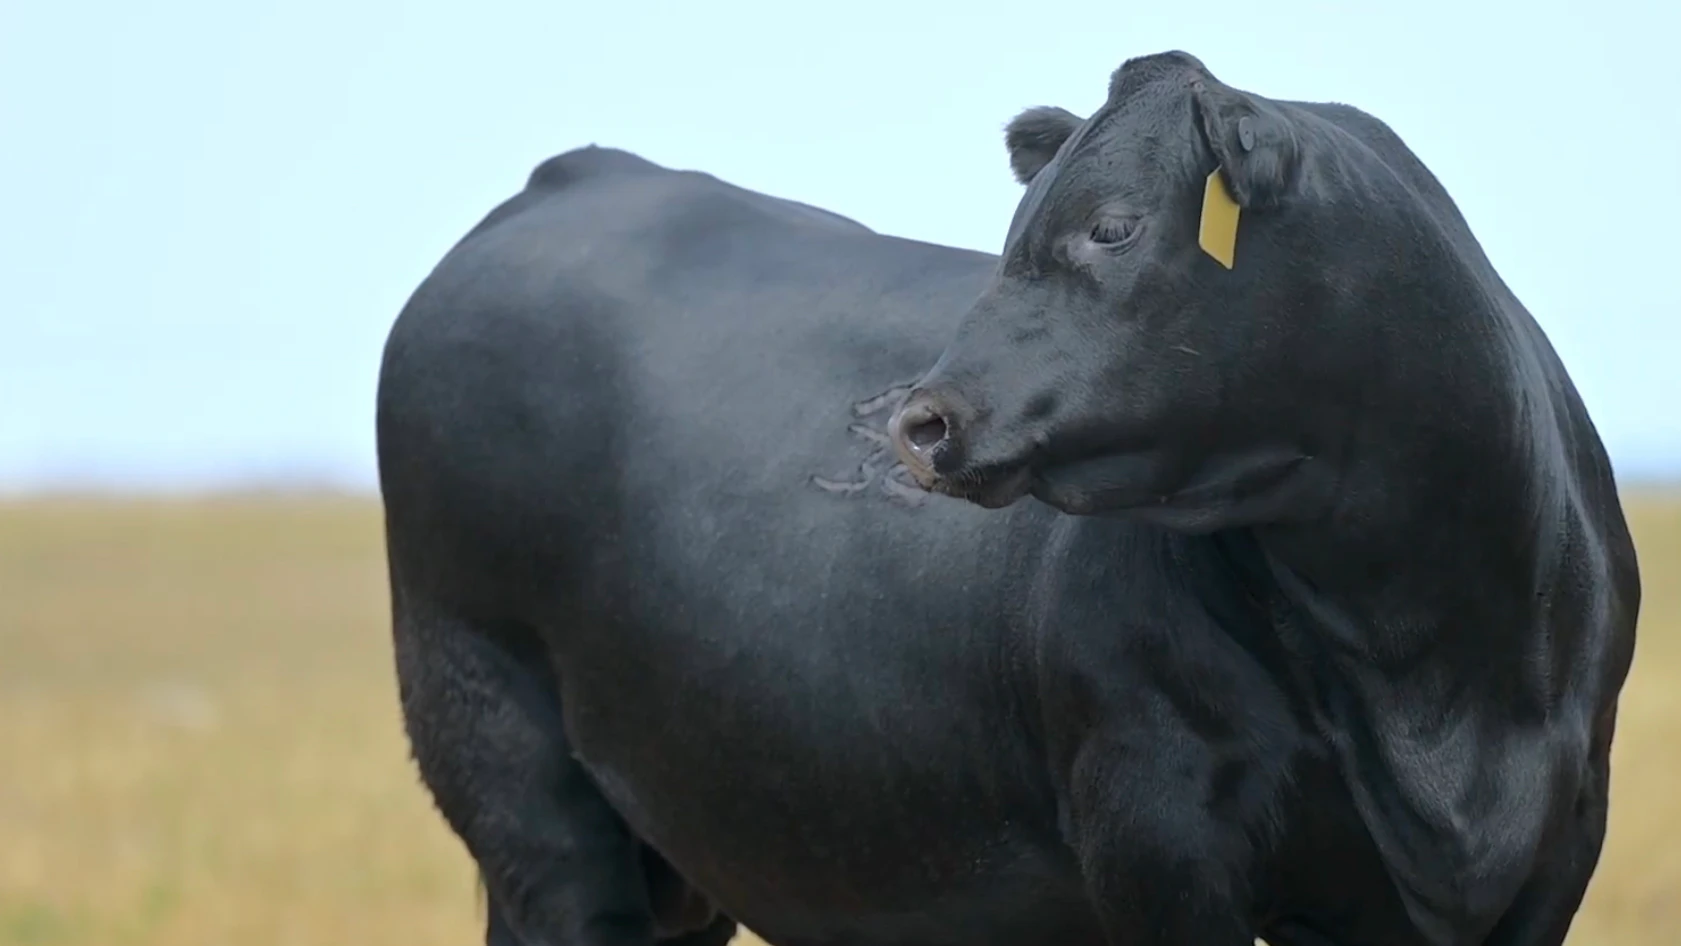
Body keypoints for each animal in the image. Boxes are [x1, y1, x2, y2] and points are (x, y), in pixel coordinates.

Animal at [374, 50, 1639, 946]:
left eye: (1114, 226)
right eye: (1013, 237)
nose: (920, 422)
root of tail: (586, 172)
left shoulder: (1558, 840)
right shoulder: (1156, 830)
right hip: (504, 750)